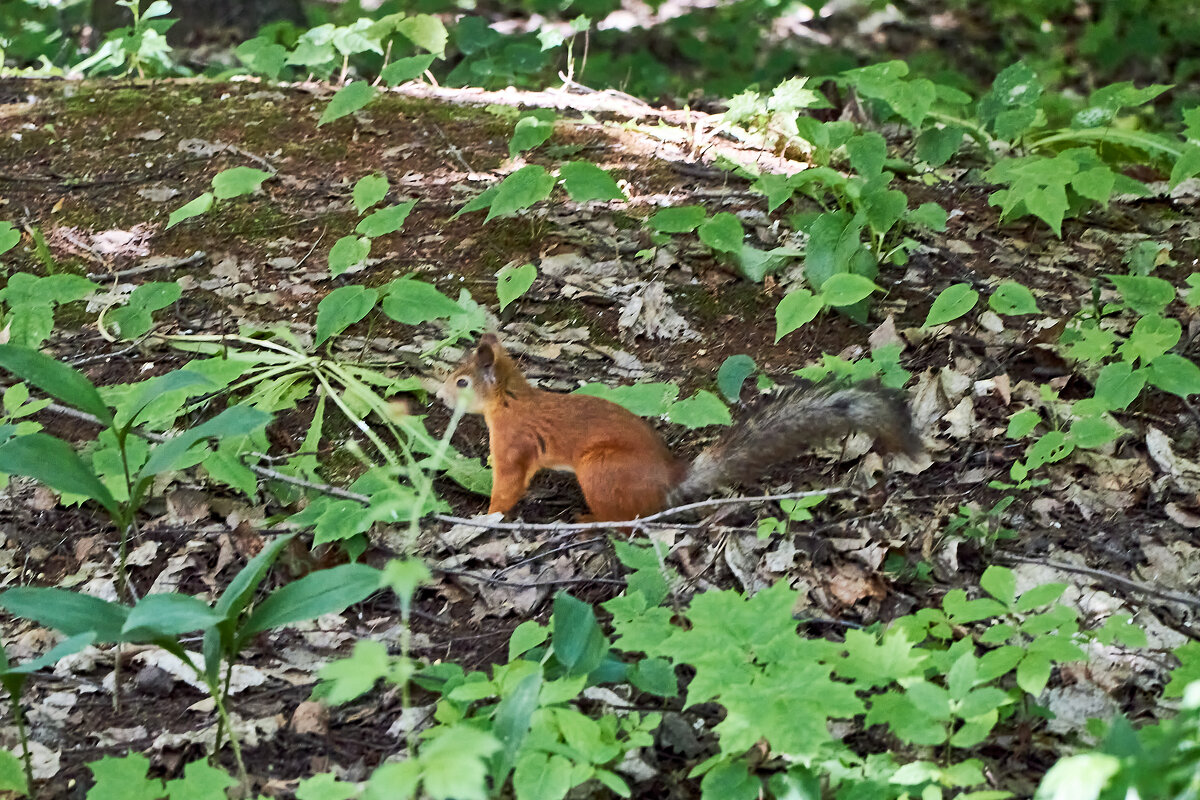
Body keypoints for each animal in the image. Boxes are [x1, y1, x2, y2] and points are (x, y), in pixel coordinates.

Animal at [441, 335, 916, 522]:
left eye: (462, 382)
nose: (441, 396)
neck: (511, 402)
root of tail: (670, 479)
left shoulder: (514, 444)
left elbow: (508, 486)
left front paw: (485, 517)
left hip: (601, 469)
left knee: (626, 520)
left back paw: (587, 517)